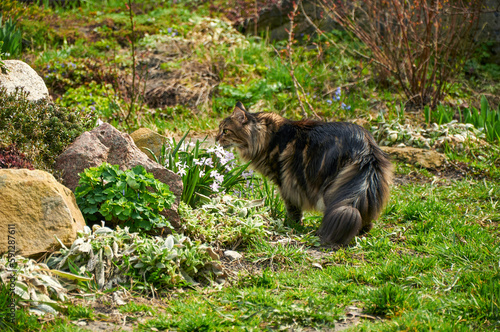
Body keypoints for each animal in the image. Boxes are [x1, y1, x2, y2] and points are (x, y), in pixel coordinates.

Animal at [216, 102, 394, 245]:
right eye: (220, 129)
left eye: (225, 131)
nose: (216, 138)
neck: (267, 136)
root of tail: (366, 146)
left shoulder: (285, 182)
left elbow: (293, 208)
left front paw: (291, 225)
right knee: (366, 216)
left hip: (330, 188)